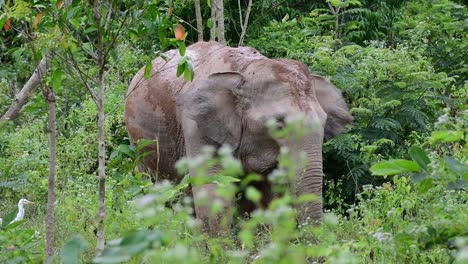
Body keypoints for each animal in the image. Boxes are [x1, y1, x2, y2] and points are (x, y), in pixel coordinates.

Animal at [124, 40, 352, 234]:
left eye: (324, 123)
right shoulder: (196, 125)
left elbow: (263, 193)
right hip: (140, 142)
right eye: (279, 126)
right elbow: (212, 189)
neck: (245, 70)